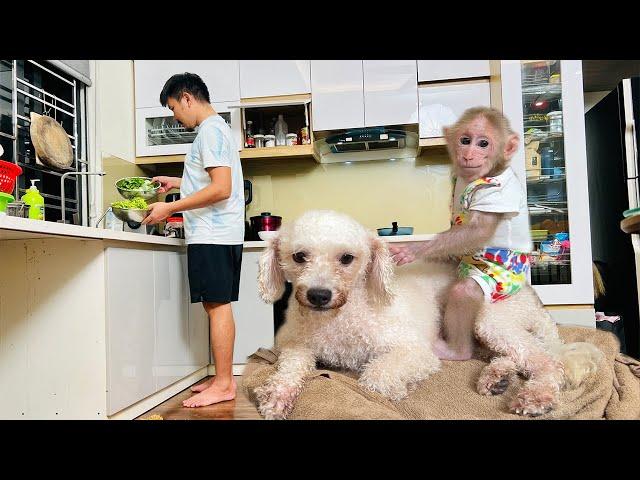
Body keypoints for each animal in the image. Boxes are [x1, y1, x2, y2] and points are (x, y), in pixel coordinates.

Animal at [254, 212, 600, 418]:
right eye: (299, 256)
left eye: (347, 258)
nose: (318, 295)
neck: (338, 317)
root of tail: (530, 294)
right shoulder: (297, 347)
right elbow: (288, 370)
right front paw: (276, 396)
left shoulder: (413, 352)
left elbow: (376, 377)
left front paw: (398, 388)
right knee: (515, 355)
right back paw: (497, 376)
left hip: (489, 320)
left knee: (546, 361)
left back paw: (536, 395)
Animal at [388, 106, 532, 360]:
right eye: (465, 140)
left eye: (483, 143)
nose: (469, 153)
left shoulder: (495, 193)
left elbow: (478, 229)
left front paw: (412, 249)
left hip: (502, 279)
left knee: (464, 291)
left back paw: (458, 351)